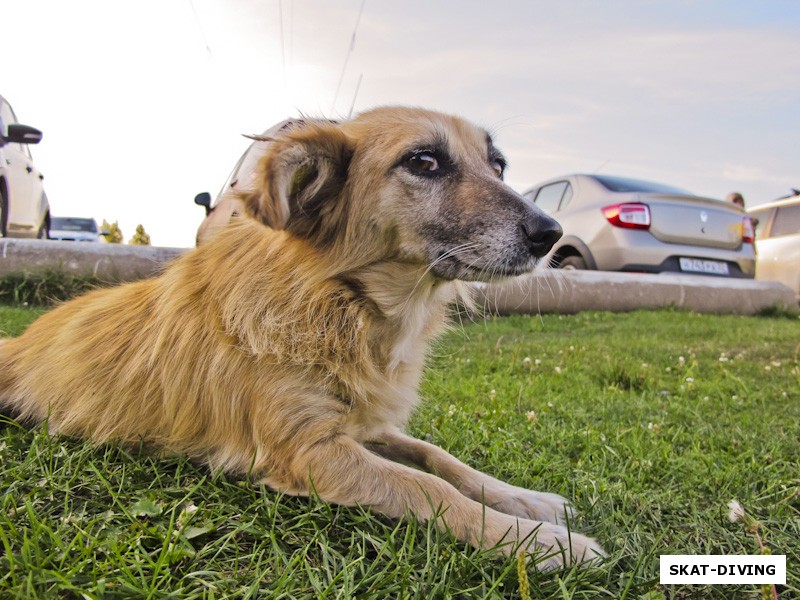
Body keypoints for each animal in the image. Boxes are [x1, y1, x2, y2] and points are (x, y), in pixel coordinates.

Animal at [0, 106, 600, 568]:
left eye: (497, 164)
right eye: (423, 161)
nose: (551, 233)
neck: (346, 304)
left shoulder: (362, 423)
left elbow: (441, 458)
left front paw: (528, 502)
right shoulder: (312, 451)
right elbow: (429, 487)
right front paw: (543, 543)